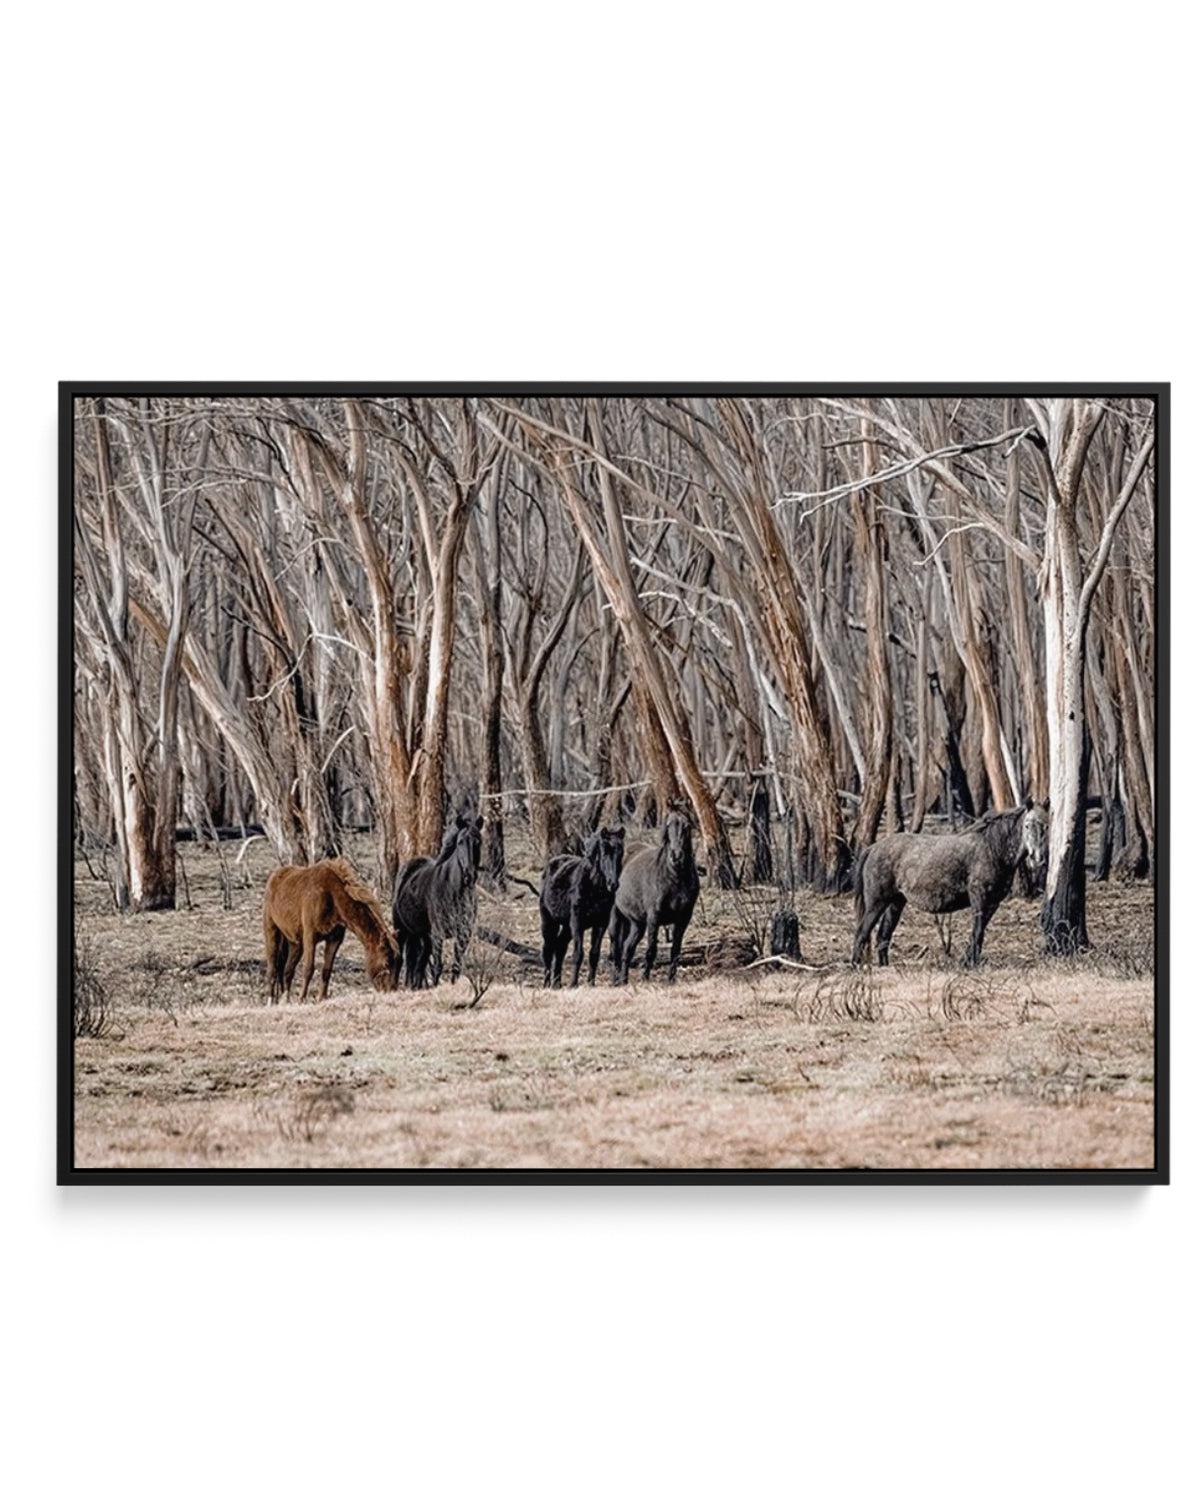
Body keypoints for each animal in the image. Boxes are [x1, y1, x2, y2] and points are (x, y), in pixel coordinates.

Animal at [261, 858, 395, 997]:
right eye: (386, 962)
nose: (390, 990)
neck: (332, 896)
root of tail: (274, 876)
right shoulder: (310, 937)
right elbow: (308, 969)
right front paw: (302, 999)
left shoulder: (334, 940)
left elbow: (326, 970)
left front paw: (322, 998)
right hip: (271, 931)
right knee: (272, 969)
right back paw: (271, 999)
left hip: (295, 942)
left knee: (287, 971)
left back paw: (285, 999)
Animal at [395, 816, 483, 991]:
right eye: (460, 842)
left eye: (478, 842)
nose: (469, 875)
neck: (453, 890)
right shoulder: (438, 934)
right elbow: (437, 967)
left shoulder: (463, 934)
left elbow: (456, 965)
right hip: (402, 929)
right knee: (401, 958)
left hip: (422, 935)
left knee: (419, 964)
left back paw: (416, 986)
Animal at [535, 828, 622, 991]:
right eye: (604, 852)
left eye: (620, 852)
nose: (613, 884)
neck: (594, 888)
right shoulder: (577, 922)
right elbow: (578, 953)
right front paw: (573, 984)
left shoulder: (600, 923)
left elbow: (594, 953)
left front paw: (591, 984)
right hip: (549, 922)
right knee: (548, 949)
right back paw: (547, 984)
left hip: (566, 927)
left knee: (560, 947)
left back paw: (557, 983)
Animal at [607, 798, 701, 985]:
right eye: (668, 824)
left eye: (686, 826)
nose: (676, 856)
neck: (674, 877)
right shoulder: (654, 918)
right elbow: (652, 949)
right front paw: (645, 978)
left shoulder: (683, 918)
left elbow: (675, 950)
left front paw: (671, 980)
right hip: (617, 917)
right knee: (616, 948)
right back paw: (616, 980)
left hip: (636, 923)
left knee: (627, 948)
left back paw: (624, 979)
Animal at [846, 804, 1039, 967]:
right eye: (1027, 825)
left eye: (1043, 826)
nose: (1037, 857)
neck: (993, 848)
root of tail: (872, 848)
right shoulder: (980, 898)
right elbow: (977, 931)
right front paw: (969, 963)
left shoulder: (993, 903)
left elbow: (980, 931)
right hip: (877, 903)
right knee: (862, 932)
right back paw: (856, 965)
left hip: (895, 903)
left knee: (883, 936)